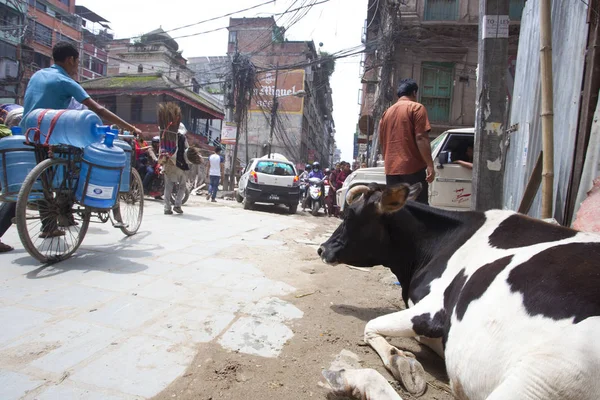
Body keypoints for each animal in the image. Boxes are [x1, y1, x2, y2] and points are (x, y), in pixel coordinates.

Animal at [318, 184, 600, 400]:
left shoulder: (431, 311)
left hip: (550, 371)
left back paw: (344, 377)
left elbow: (371, 325)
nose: (321, 248)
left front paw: (402, 362)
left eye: (348, 217)